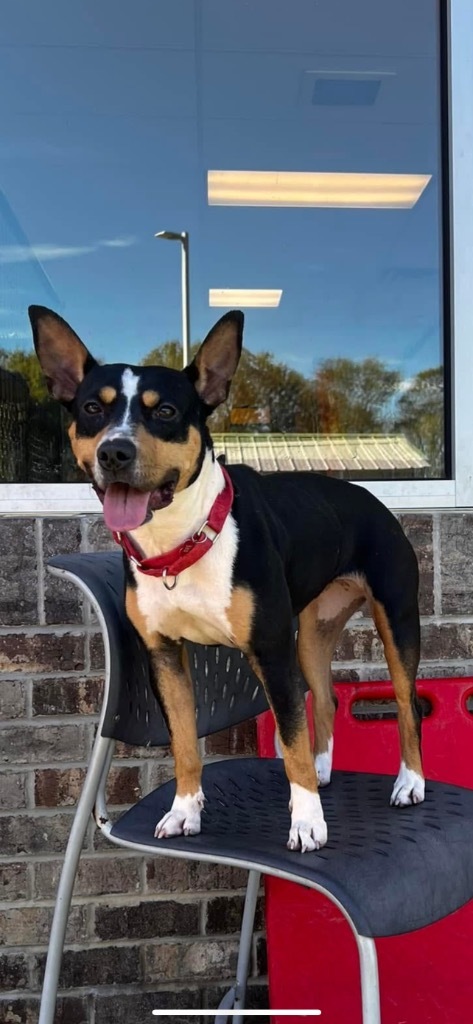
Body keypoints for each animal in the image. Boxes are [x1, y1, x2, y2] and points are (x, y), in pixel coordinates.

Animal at [27, 305, 423, 856]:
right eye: (91, 409)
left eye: (165, 412)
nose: (114, 452)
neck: (184, 541)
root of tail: (372, 500)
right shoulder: (164, 655)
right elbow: (184, 740)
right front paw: (184, 810)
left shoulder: (271, 652)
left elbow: (291, 741)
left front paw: (307, 824)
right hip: (312, 634)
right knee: (325, 697)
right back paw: (324, 769)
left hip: (395, 619)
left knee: (406, 702)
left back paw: (410, 782)